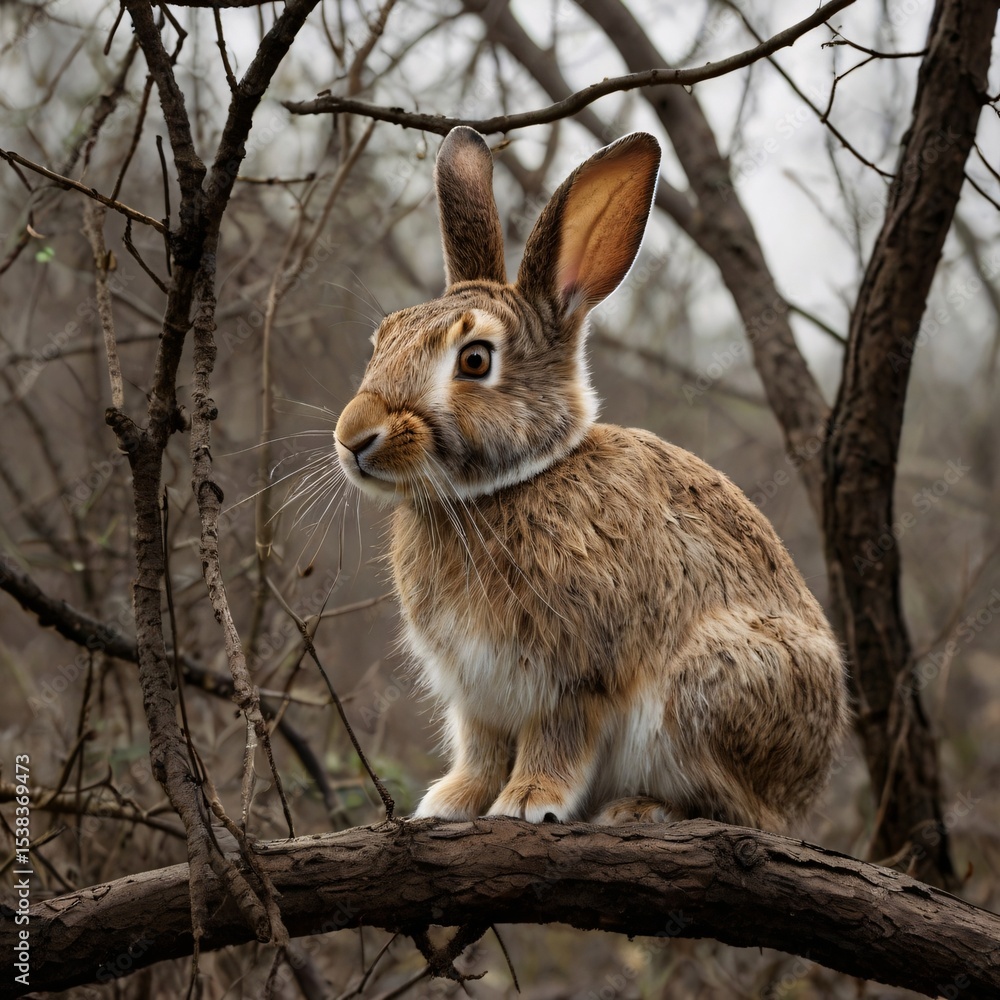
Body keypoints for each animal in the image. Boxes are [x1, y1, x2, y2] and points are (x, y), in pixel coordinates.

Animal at [334, 126, 849, 830]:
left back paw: (639, 809)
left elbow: (559, 740)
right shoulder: (477, 697)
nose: (352, 437)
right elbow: (480, 750)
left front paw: (529, 803)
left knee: (738, 810)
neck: (509, 485)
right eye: (382, 339)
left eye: (475, 360)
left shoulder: (576, 677)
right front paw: (450, 803)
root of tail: (805, 792)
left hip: (712, 685)